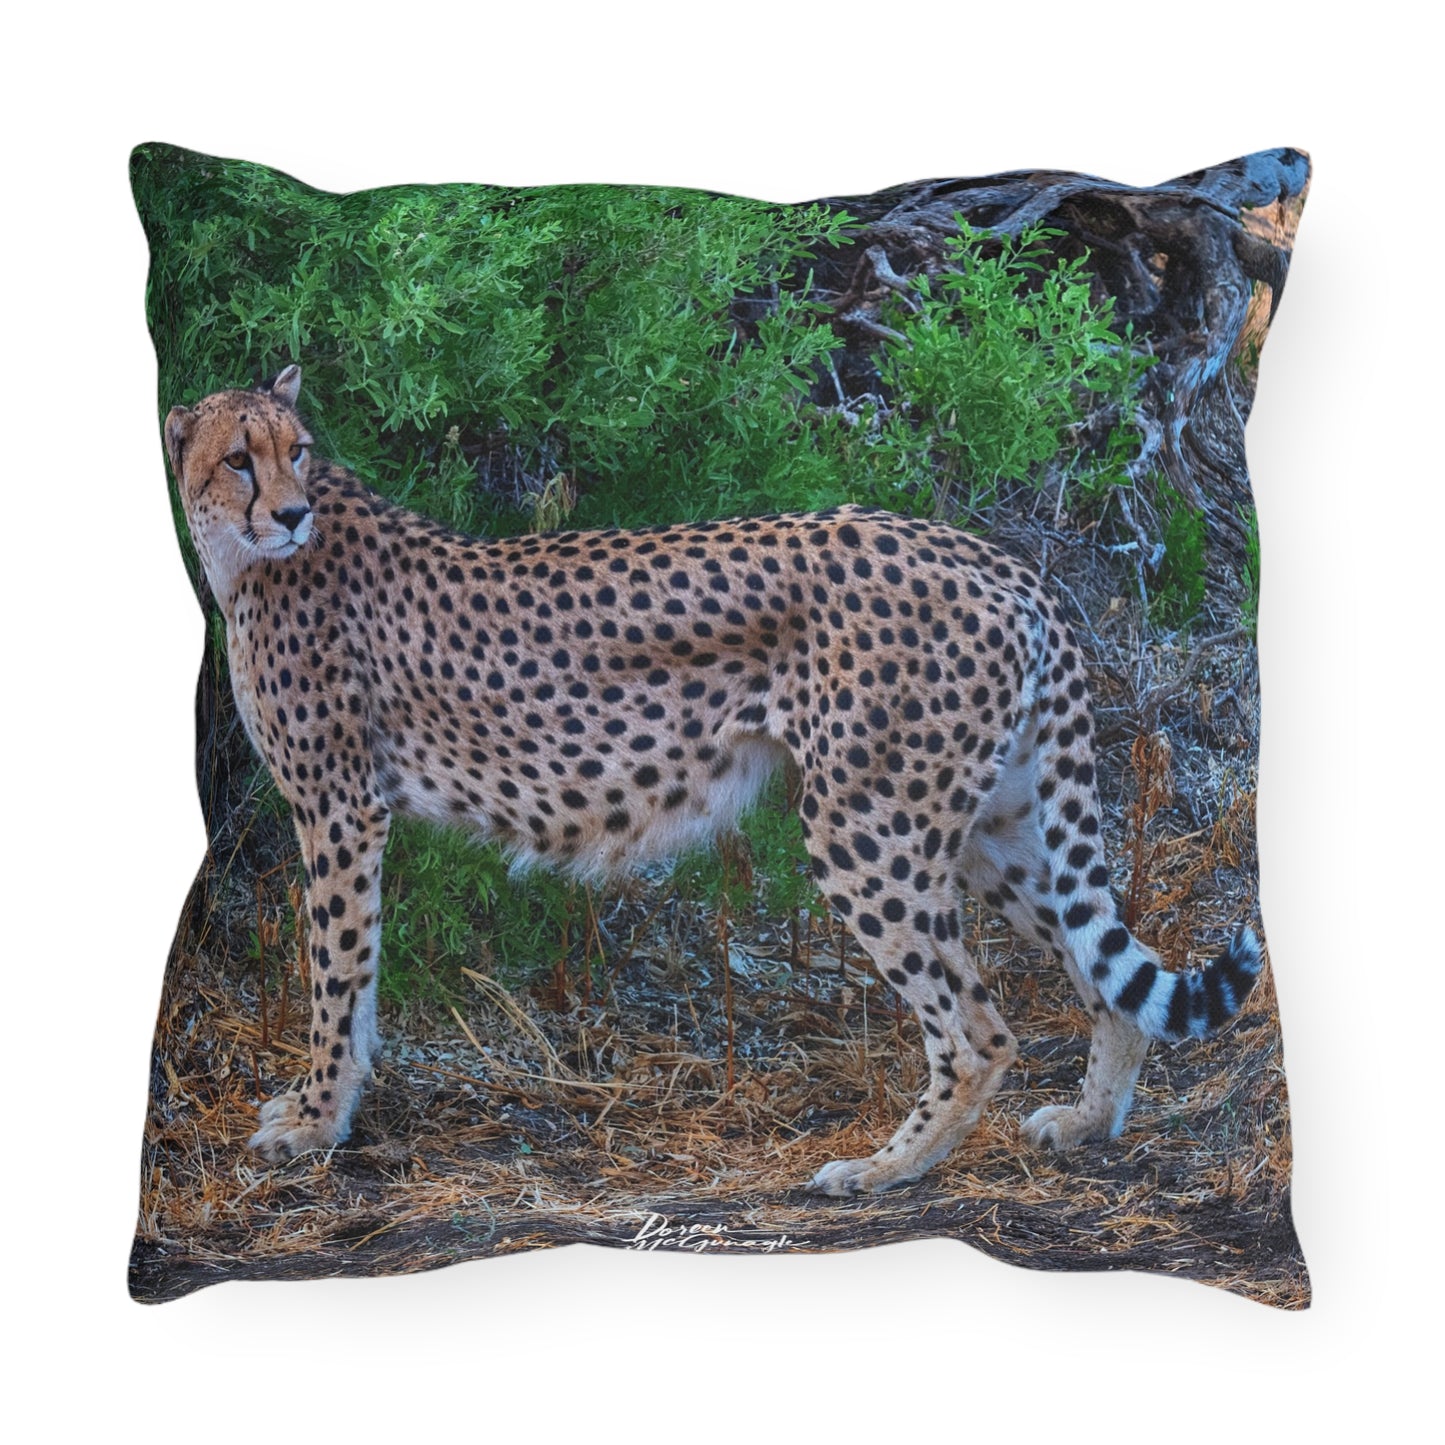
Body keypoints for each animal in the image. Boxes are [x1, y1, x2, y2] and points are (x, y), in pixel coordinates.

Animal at [162, 366, 1262, 1197]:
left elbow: (334, 971)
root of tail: (992, 557)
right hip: (993, 821)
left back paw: (882, 1169)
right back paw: (1085, 1119)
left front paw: (314, 1122)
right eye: (239, 457)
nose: (291, 511)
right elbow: (354, 975)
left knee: (978, 1027)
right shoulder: (347, 811)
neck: (247, 557)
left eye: (297, 449)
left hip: (865, 825)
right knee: (1105, 964)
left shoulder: (339, 809)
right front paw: (324, 1112)